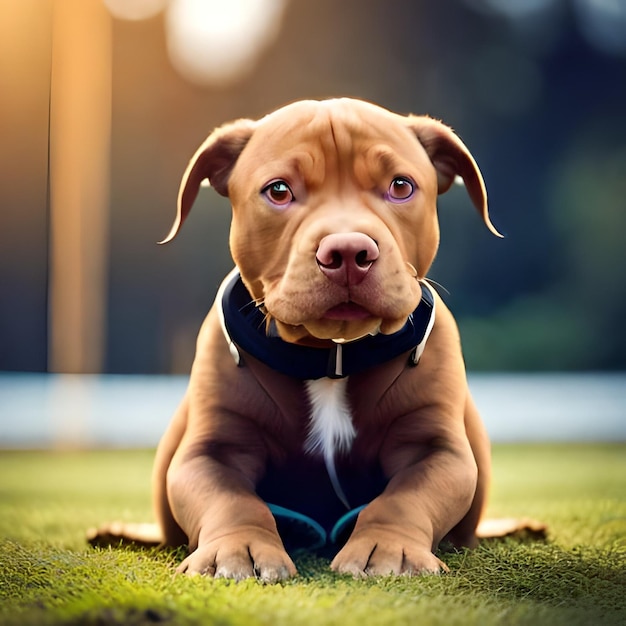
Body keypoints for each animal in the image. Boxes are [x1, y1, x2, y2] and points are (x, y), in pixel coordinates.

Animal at [88, 97, 540, 580]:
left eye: (401, 186)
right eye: (278, 191)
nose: (348, 251)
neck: (331, 357)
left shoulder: (436, 449)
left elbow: (405, 498)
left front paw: (390, 550)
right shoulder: (211, 451)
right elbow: (232, 499)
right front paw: (238, 550)